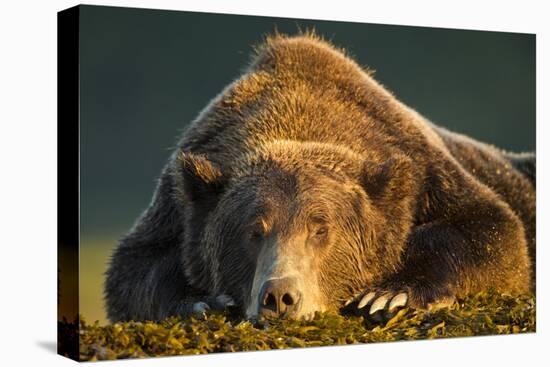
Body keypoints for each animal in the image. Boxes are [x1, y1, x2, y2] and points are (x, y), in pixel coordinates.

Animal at [103, 33, 536, 324]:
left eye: (320, 229)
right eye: (254, 230)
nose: (280, 296)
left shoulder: (425, 170)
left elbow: (493, 234)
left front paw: (388, 295)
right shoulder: (178, 203)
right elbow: (134, 269)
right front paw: (204, 302)